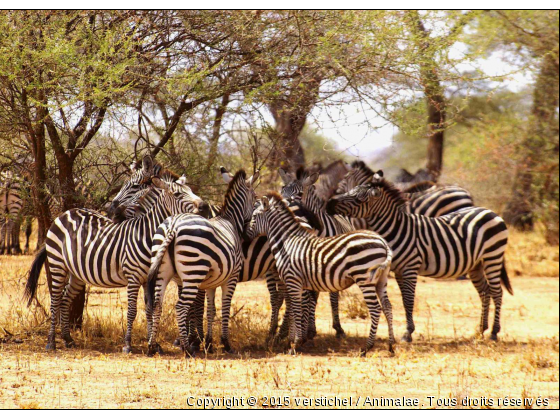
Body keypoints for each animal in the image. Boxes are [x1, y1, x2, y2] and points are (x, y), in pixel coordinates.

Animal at [24, 176, 203, 352]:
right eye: (178, 194)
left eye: (191, 190)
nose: (204, 206)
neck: (145, 235)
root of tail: (66, 213)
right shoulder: (133, 277)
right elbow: (132, 311)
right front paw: (128, 344)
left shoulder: (148, 279)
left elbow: (150, 309)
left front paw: (153, 344)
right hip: (58, 263)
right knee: (55, 300)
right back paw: (51, 342)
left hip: (76, 273)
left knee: (65, 299)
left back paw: (68, 339)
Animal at [144, 169, 258, 356]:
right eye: (255, 197)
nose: (249, 233)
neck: (230, 220)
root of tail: (173, 226)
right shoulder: (231, 278)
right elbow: (225, 307)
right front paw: (226, 343)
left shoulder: (211, 282)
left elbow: (210, 310)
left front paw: (209, 343)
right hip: (192, 272)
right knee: (180, 307)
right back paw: (187, 348)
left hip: (162, 270)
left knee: (157, 304)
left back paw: (152, 346)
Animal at [245, 193, 394, 354]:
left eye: (254, 216)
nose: (244, 235)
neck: (287, 242)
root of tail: (383, 242)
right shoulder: (297, 282)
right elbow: (294, 310)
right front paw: (293, 341)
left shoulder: (293, 280)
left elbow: (296, 309)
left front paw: (295, 344)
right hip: (381, 279)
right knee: (387, 306)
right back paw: (391, 346)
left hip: (364, 278)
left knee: (375, 309)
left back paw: (367, 347)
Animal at [326, 179, 516, 342]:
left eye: (358, 199)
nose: (329, 204)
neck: (396, 229)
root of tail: (490, 212)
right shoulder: (398, 270)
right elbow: (404, 300)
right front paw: (407, 331)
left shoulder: (410, 267)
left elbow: (410, 300)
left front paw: (407, 334)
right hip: (476, 264)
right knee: (485, 291)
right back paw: (480, 330)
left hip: (493, 257)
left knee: (497, 292)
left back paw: (493, 332)